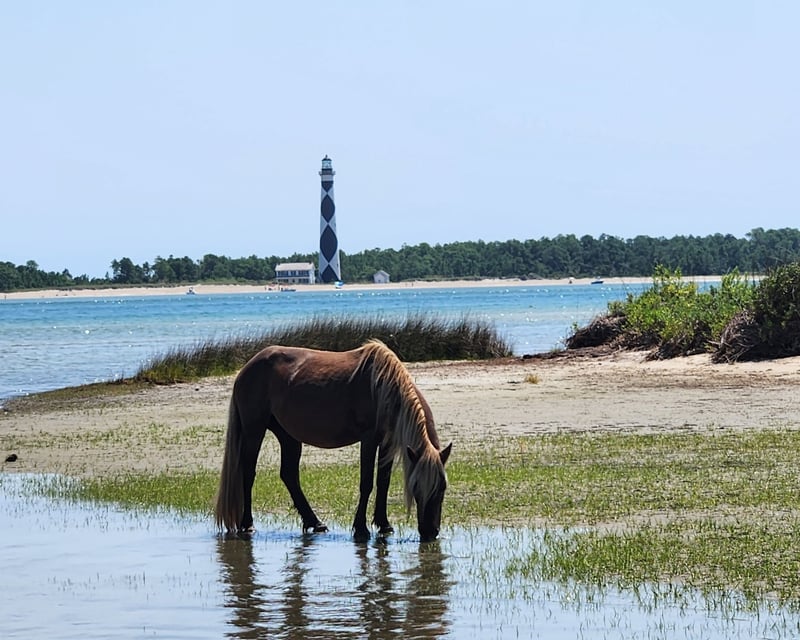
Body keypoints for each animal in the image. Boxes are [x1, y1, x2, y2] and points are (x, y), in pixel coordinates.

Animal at [215, 339, 452, 542]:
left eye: (442, 487)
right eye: (416, 487)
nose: (430, 532)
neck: (384, 389)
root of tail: (247, 368)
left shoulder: (387, 443)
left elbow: (383, 482)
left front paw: (384, 525)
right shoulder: (369, 440)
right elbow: (366, 482)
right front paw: (361, 528)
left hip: (288, 436)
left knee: (289, 476)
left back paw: (315, 522)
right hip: (254, 430)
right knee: (248, 473)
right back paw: (247, 524)